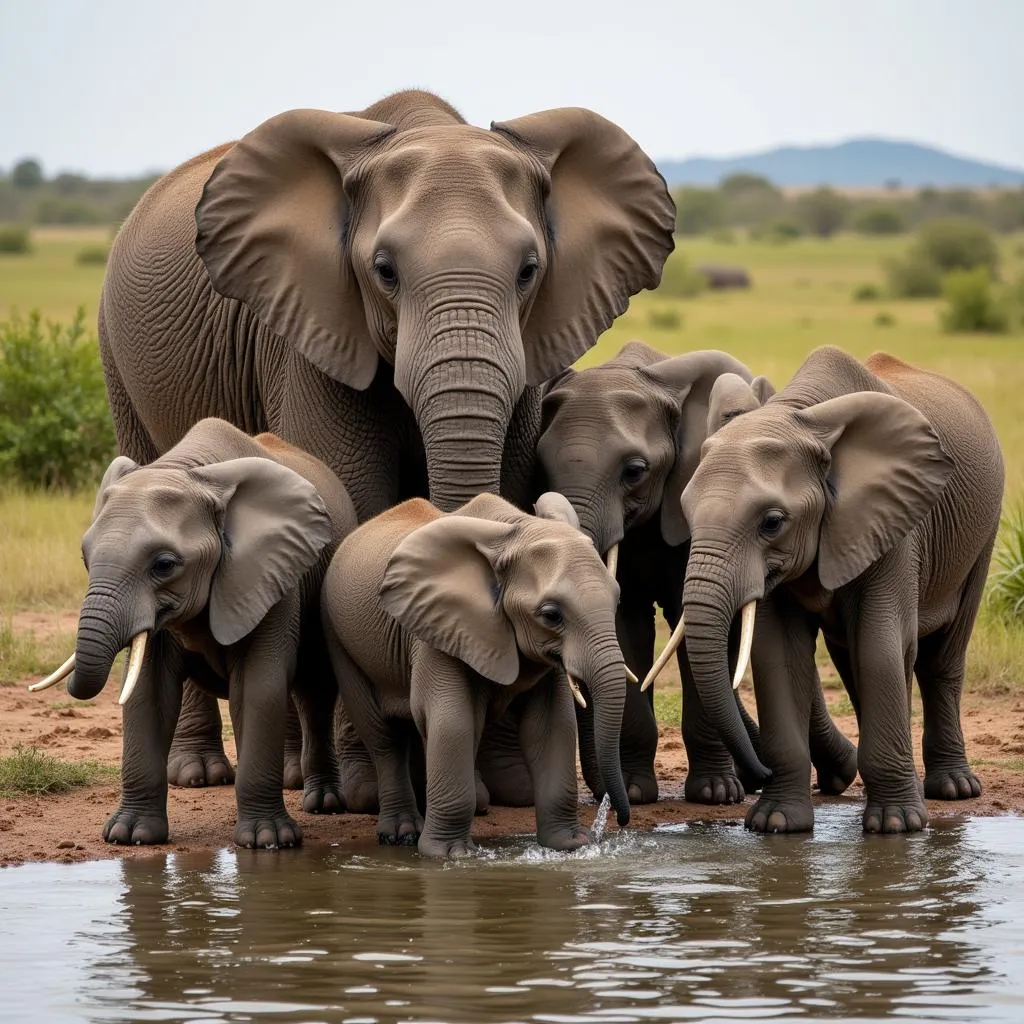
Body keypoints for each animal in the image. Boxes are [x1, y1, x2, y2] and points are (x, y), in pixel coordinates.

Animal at [32, 415, 358, 847]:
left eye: (165, 565)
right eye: (86, 559)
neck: (190, 472)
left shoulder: (270, 575)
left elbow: (257, 687)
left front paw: (268, 842)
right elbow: (148, 692)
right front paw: (129, 836)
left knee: (315, 692)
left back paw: (324, 803)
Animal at [94, 90, 671, 790]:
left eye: (529, 270)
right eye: (385, 271)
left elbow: (506, 490)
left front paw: (505, 785)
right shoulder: (310, 330)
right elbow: (355, 497)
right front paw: (369, 790)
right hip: (118, 356)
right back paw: (214, 773)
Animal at [321, 491, 630, 860]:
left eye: (617, 602)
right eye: (551, 615)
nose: (620, 820)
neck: (515, 530)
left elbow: (553, 725)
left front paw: (570, 846)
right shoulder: (435, 627)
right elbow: (452, 720)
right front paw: (452, 855)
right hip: (340, 639)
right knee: (384, 735)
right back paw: (402, 834)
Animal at [675, 348, 1003, 835]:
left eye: (772, 522)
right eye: (686, 513)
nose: (756, 773)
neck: (800, 415)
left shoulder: (894, 523)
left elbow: (881, 646)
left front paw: (896, 826)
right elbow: (778, 655)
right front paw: (776, 824)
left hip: (982, 536)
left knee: (939, 659)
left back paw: (953, 789)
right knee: (853, 662)